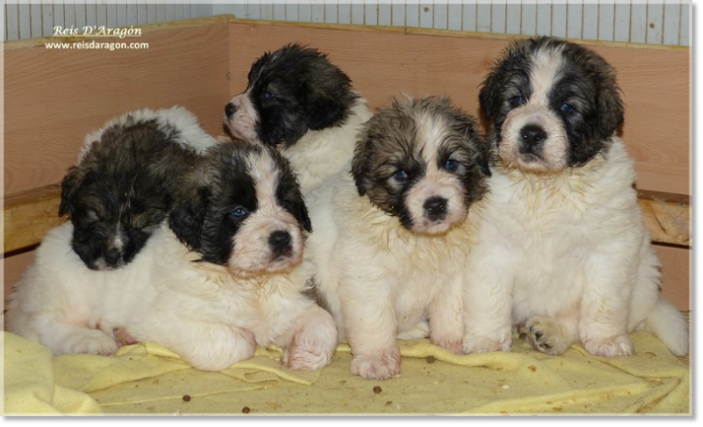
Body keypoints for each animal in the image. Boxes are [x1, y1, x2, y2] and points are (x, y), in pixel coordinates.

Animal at [3, 142, 338, 372]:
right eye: (239, 212)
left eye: (286, 204)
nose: (281, 237)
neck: (245, 284)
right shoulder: (165, 320)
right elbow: (238, 342)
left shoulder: (286, 305)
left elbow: (325, 323)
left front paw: (303, 356)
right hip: (64, 292)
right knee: (42, 327)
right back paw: (94, 340)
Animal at [300, 97, 492, 382]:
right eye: (401, 174)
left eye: (450, 164)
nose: (436, 205)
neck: (416, 238)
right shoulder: (367, 279)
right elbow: (375, 321)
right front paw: (377, 359)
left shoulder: (453, 274)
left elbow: (450, 311)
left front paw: (451, 342)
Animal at [462, 36, 688, 358]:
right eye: (515, 100)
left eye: (568, 107)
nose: (531, 133)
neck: (547, 184)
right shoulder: (490, 243)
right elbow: (489, 295)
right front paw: (487, 341)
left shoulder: (611, 248)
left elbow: (603, 300)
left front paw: (607, 340)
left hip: (645, 276)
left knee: (578, 320)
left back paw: (550, 332)